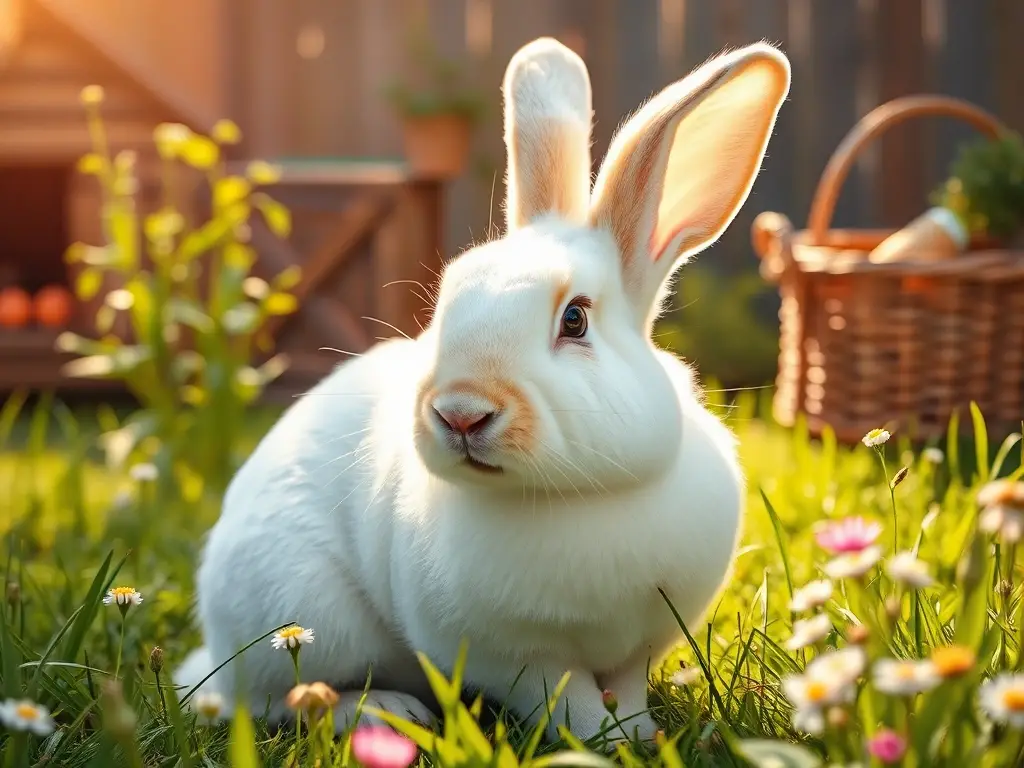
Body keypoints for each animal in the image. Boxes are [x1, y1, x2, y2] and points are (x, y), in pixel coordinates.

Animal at [174, 36, 790, 744]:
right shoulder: (516, 658)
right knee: (284, 699)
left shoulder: (639, 644)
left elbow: (626, 688)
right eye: (447, 304)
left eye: (574, 320)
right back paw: (391, 711)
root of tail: (213, 651)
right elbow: (570, 700)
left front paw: (638, 734)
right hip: (305, 619)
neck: (575, 498)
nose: (461, 413)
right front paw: (606, 741)